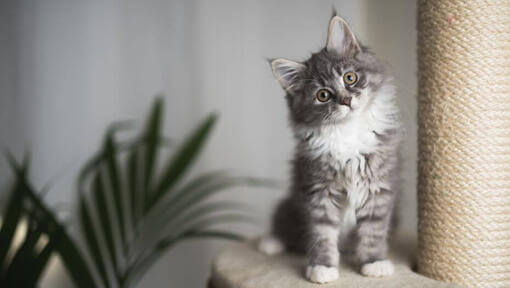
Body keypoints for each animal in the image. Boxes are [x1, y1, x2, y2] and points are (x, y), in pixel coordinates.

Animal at [258, 13, 402, 284]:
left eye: (350, 78)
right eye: (323, 95)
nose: (346, 100)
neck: (347, 132)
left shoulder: (378, 188)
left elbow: (373, 231)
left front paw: (374, 262)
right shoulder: (318, 191)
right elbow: (321, 234)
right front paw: (322, 268)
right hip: (290, 204)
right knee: (285, 227)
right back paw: (270, 243)